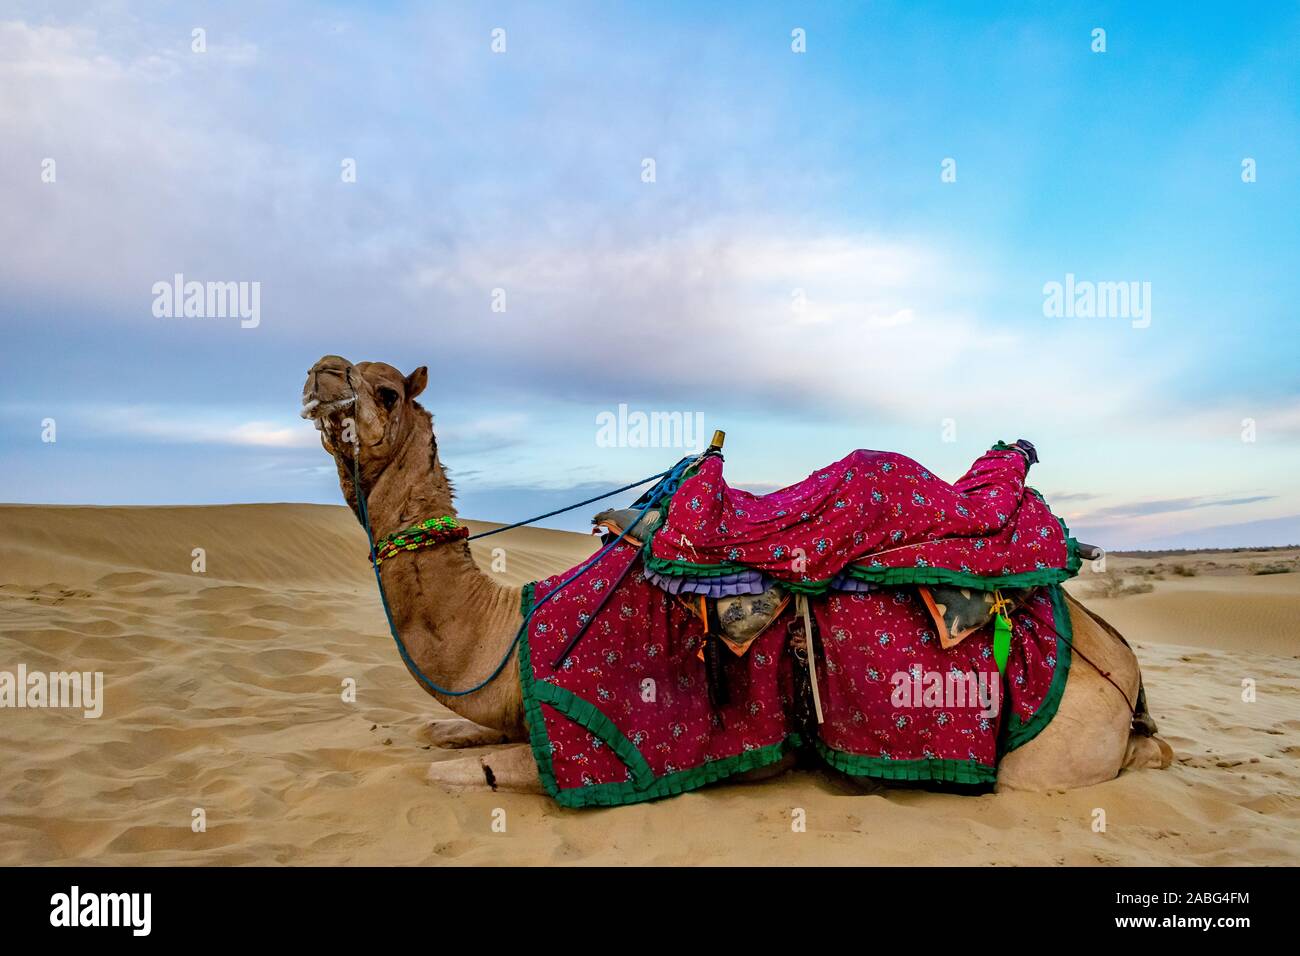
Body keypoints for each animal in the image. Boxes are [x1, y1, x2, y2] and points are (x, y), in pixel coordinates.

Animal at [301, 355, 1173, 796]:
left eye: (386, 390)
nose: (320, 370)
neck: (502, 628)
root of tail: (1121, 664)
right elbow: (441, 730)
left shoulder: (598, 738)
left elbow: (457, 771)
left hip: (1047, 754)